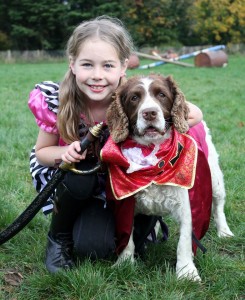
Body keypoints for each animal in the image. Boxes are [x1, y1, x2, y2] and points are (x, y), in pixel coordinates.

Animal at [104, 74, 234, 280]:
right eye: (134, 97)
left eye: (162, 95)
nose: (149, 113)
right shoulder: (126, 202)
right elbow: (127, 237)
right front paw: (124, 263)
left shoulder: (186, 204)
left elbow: (185, 241)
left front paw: (186, 272)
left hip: (215, 178)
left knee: (218, 205)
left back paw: (224, 231)